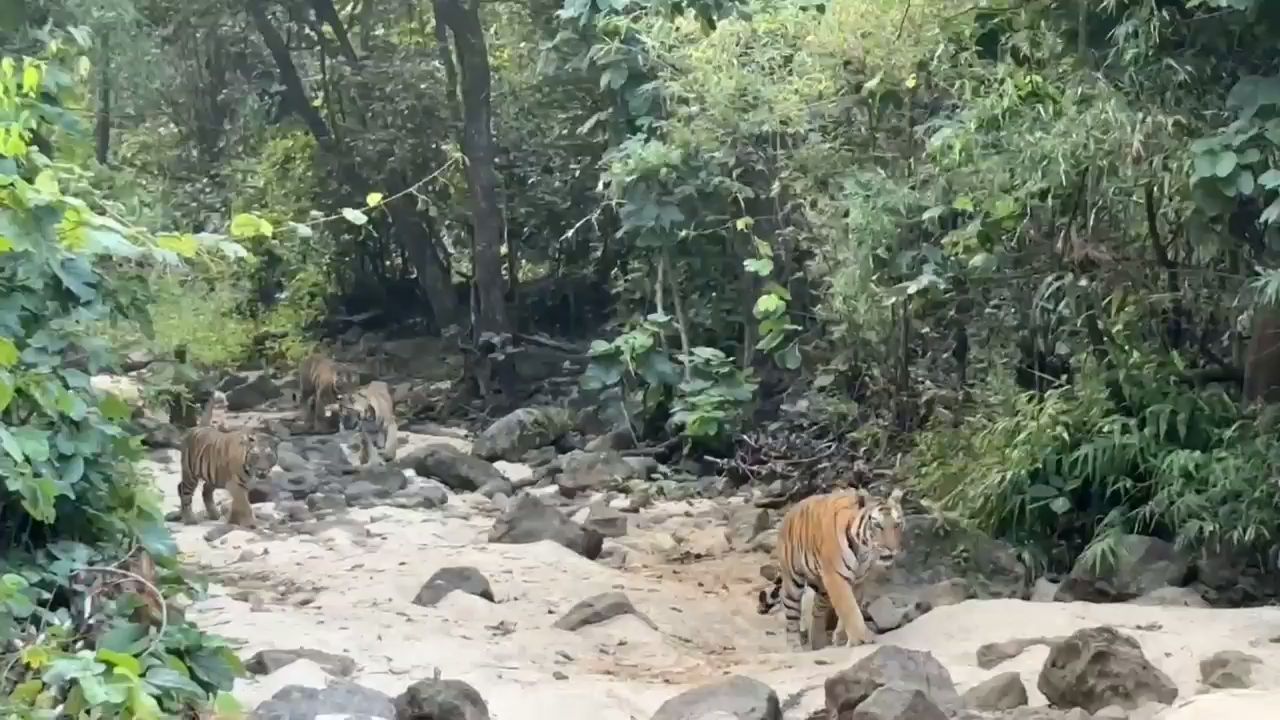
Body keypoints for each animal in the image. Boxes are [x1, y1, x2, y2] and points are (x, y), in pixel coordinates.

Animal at [176, 386, 276, 527]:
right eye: (255, 456)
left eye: (269, 455)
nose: (262, 471)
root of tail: (201, 426)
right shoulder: (236, 485)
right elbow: (245, 505)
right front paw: (251, 523)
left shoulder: (242, 485)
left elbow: (239, 504)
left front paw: (234, 521)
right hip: (190, 474)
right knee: (183, 490)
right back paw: (190, 519)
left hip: (214, 477)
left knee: (205, 490)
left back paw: (214, 514)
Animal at [752, 484, 906, 648]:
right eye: (877, 525)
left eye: (897, 524)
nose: (891, 548)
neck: (863, 551)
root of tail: (790, 512)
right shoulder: (836, 577)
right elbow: (849, 607)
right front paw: (860, 638)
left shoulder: (858, 580)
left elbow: (853, 605)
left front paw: (842, 638)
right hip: (793, 583)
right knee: (792, 617)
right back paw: (795, 647)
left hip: (822, 587)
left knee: (817, 609)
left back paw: (818, 642)